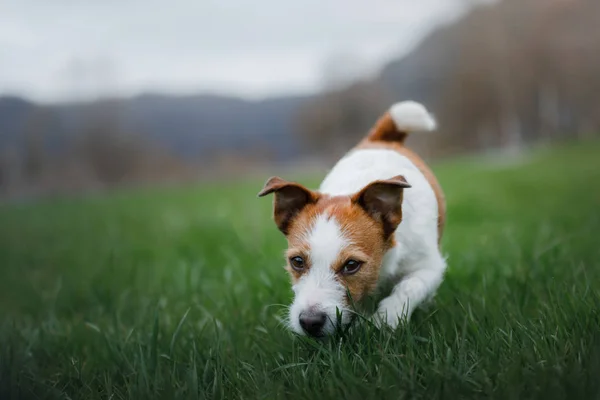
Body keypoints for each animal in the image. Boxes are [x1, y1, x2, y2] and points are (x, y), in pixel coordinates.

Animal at [258, 101, 446, 338]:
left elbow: (409, 287)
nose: (310, 322)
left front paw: (385, 319)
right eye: (297, 261)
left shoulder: (429, 266)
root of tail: (380, 140)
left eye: (351, 265)